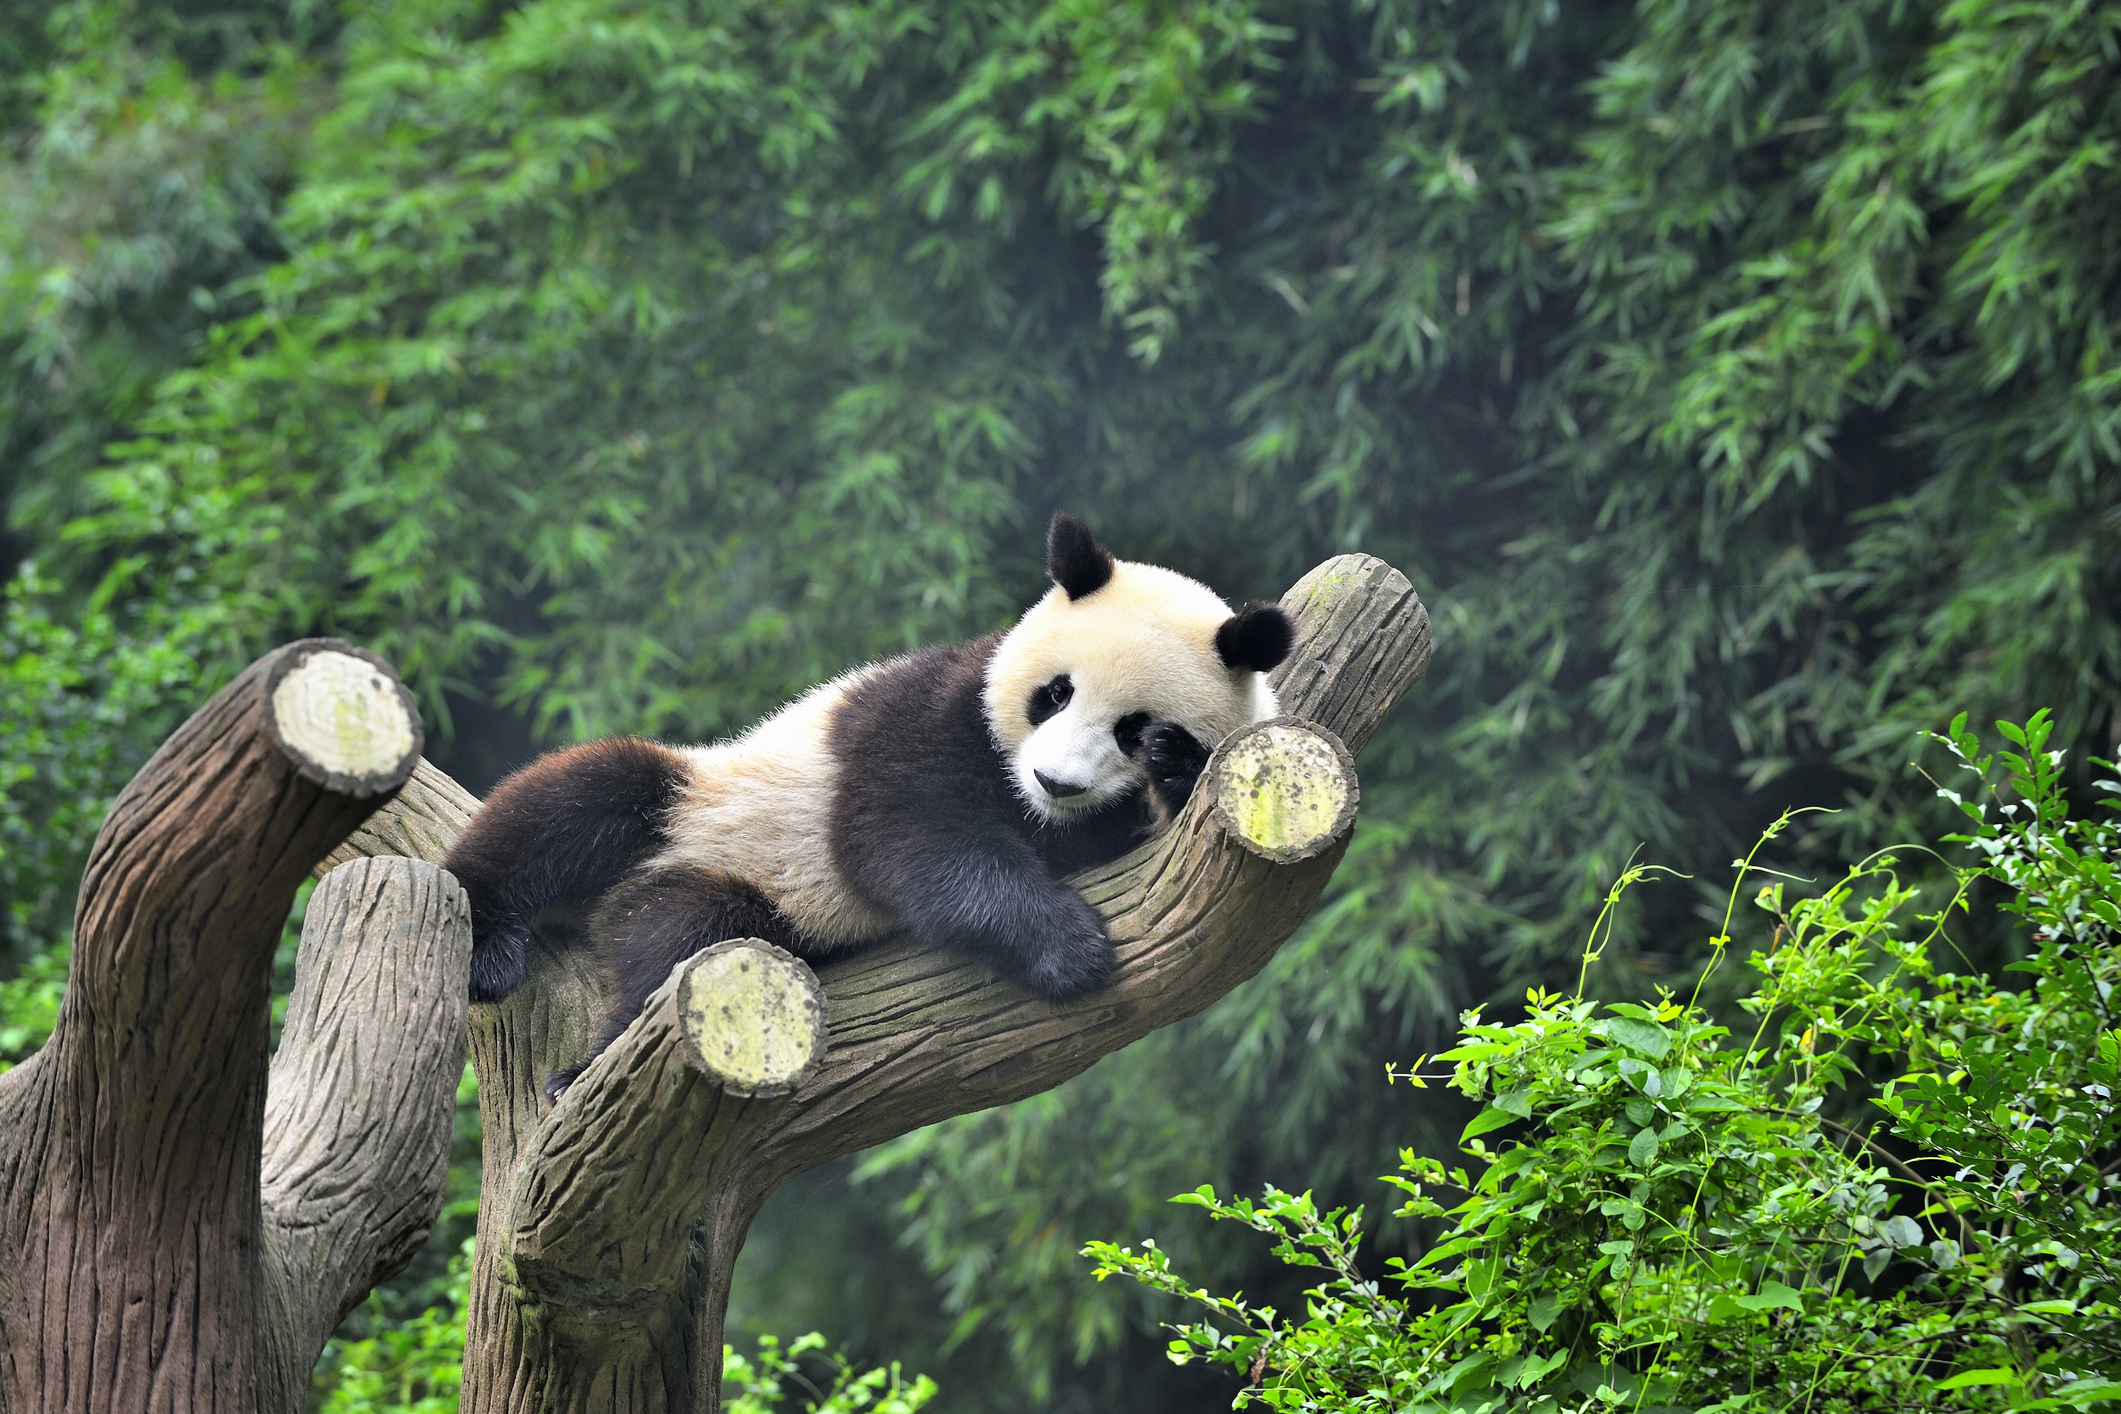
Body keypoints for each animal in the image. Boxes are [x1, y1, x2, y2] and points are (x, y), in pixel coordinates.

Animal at [443, 513, 1294, 1093]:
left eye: (1131, 728)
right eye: (1054, 694)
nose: (1055, 782)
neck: (1023, 801)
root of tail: (624, 900)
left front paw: (1174, 772)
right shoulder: (919, 715)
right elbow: (909, 839)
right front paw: (1069, 948)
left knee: (682, 931)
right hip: (702, 804)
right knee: (577, 803)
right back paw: (524, 996)